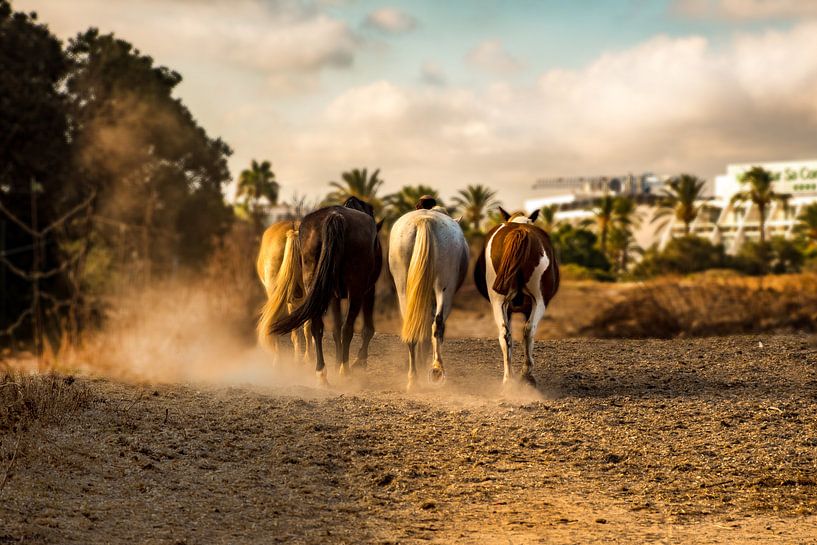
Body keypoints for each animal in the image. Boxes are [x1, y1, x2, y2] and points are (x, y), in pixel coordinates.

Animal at [270, 198, 380, 384]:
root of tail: (335, 216)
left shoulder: (333, 296)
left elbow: (335, 329)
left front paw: (337, 363)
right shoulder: (368, 291)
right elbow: (366, 329)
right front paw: (358, 361)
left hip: (314, 286)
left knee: (318, 327)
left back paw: (322, 373)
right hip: (356, 291)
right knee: (347, 328)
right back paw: (345, 371)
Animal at [390, 206, 468, 388]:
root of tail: (424, 221)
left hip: (403, 286)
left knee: (411, 327)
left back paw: (413, 378)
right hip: (444, 288)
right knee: (437, 323)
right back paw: (436, 369)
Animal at [472, 206, 560, 384]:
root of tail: (520, 230)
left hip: (499, 302)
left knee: (505, 333)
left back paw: (508, 378)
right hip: (539, 300)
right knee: (528, 330)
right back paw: (526, 374)